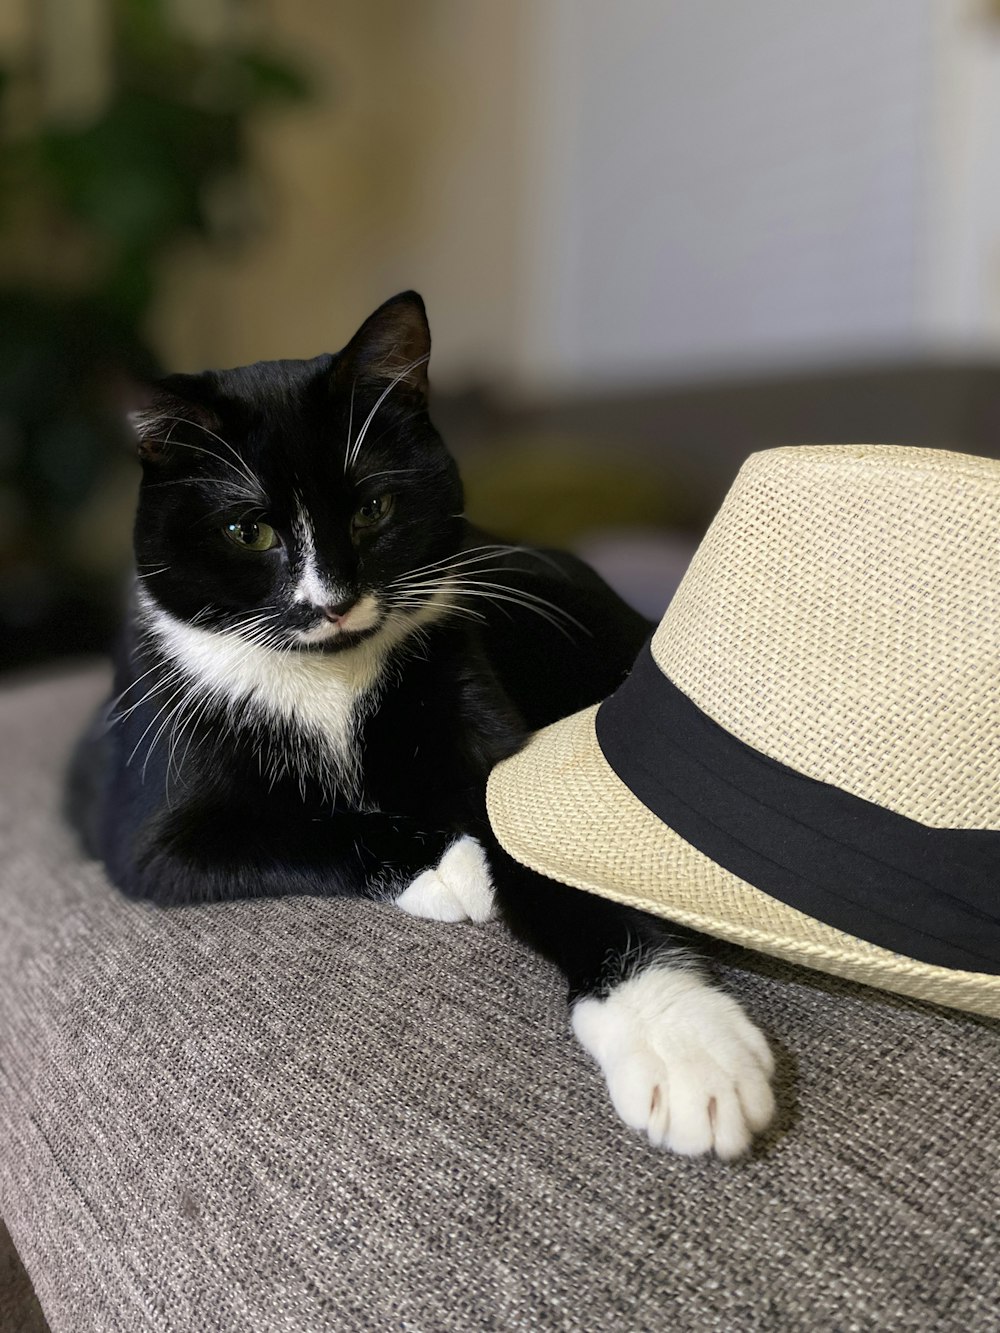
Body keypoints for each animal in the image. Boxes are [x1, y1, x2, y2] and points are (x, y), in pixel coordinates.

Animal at [70, 291, 778, 1157]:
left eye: (374, 508)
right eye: (248, 531)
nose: (332, 602)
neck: (328, 674)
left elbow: (542, 840)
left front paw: (680, 1038)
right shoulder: (146, 824)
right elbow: (286, 825)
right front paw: (444, 862)